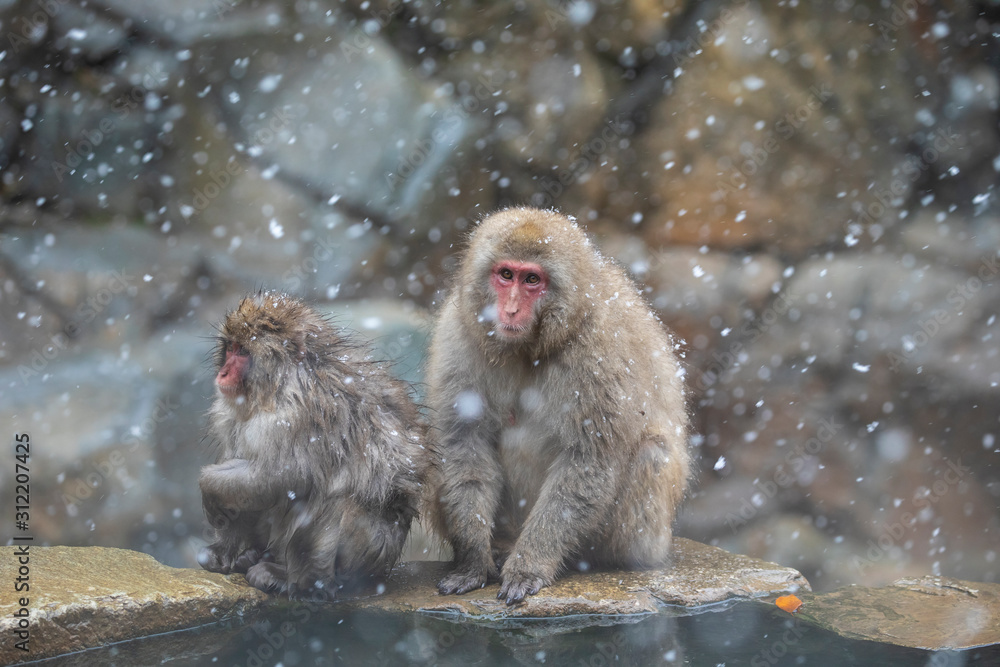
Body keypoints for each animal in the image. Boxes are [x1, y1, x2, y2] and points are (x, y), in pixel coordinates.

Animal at [198, 291, 425, 599]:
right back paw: (253, 556)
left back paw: (295, 580)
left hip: (366, 550)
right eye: (231, 348)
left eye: (243, 352)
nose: (222, 373)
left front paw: (208, 486)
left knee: (334, 500)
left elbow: (282, 476)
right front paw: (223, 550)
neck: (276, 385)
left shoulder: (297, 413)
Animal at [426, 207, 691, 605]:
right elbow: (463, 443)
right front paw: (472, 559)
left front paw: (529, 566)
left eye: (532, 279)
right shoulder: (459, 334)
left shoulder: (600, 351)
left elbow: (588, 460)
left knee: (651, 452)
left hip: (645, 538)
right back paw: (500, 546)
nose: (511, 309)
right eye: (506, 275)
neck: (530, 349)